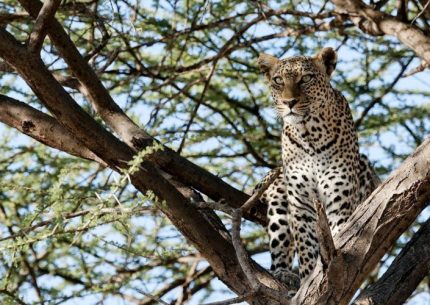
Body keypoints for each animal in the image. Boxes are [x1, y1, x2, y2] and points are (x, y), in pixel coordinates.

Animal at [254, 47, 382, 288]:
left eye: (306, 79)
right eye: (278, 80)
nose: (289, 102)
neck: (309, 134)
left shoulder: (338, 199)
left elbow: (339, 233)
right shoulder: (301, 202)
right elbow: (305, 248)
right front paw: (307, 280)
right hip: (278, 194)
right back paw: (284, 275)